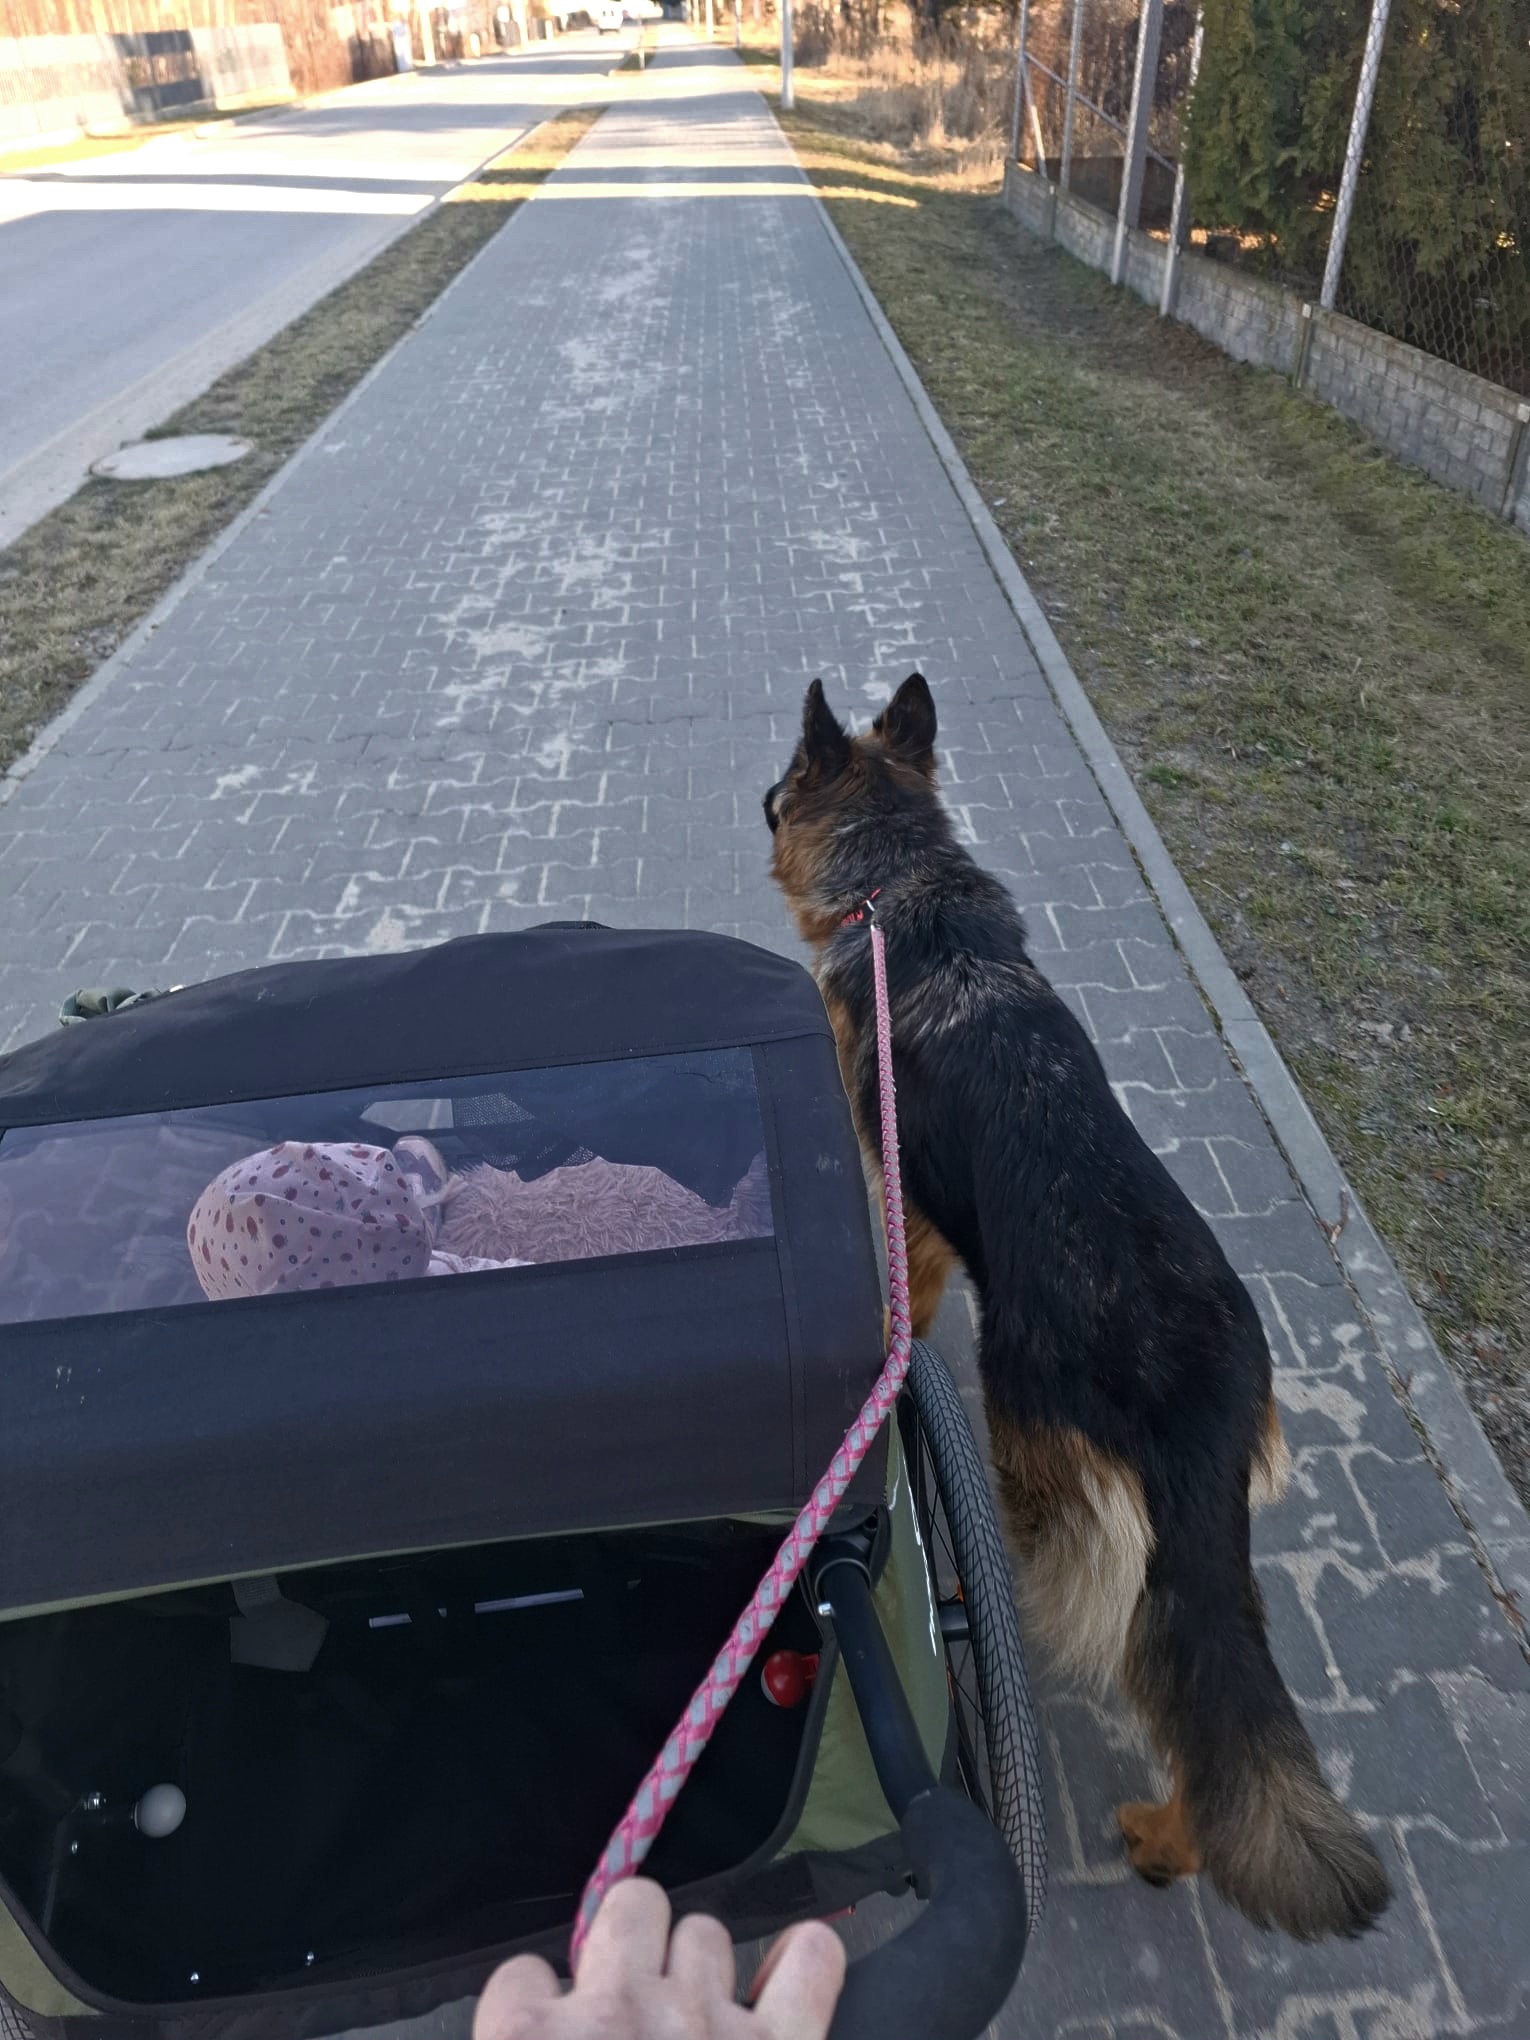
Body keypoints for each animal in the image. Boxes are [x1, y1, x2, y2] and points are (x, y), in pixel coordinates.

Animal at [764, 673, 1390, 1941]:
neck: (899, 881)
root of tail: (1196, 1384)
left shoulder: (908, 1206)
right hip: (1195, 1553)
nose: (756, 803)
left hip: (1037, 1459)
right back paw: (1176, 1838)